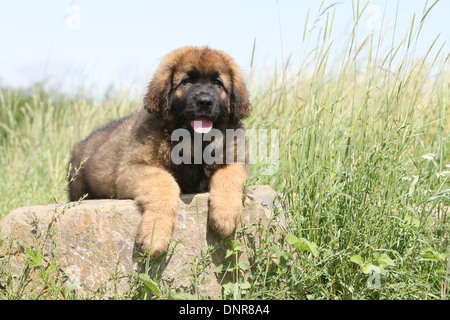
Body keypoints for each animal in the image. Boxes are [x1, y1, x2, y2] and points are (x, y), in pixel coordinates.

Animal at [67, 46, 250, 258]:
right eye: (186, 81)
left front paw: (224, 216)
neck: (194, 143)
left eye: (218, 83)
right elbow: (164, 183)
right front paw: (156, 235)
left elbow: (229, 176)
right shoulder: (134, 167)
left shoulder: (237, 158)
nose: (205, 101)